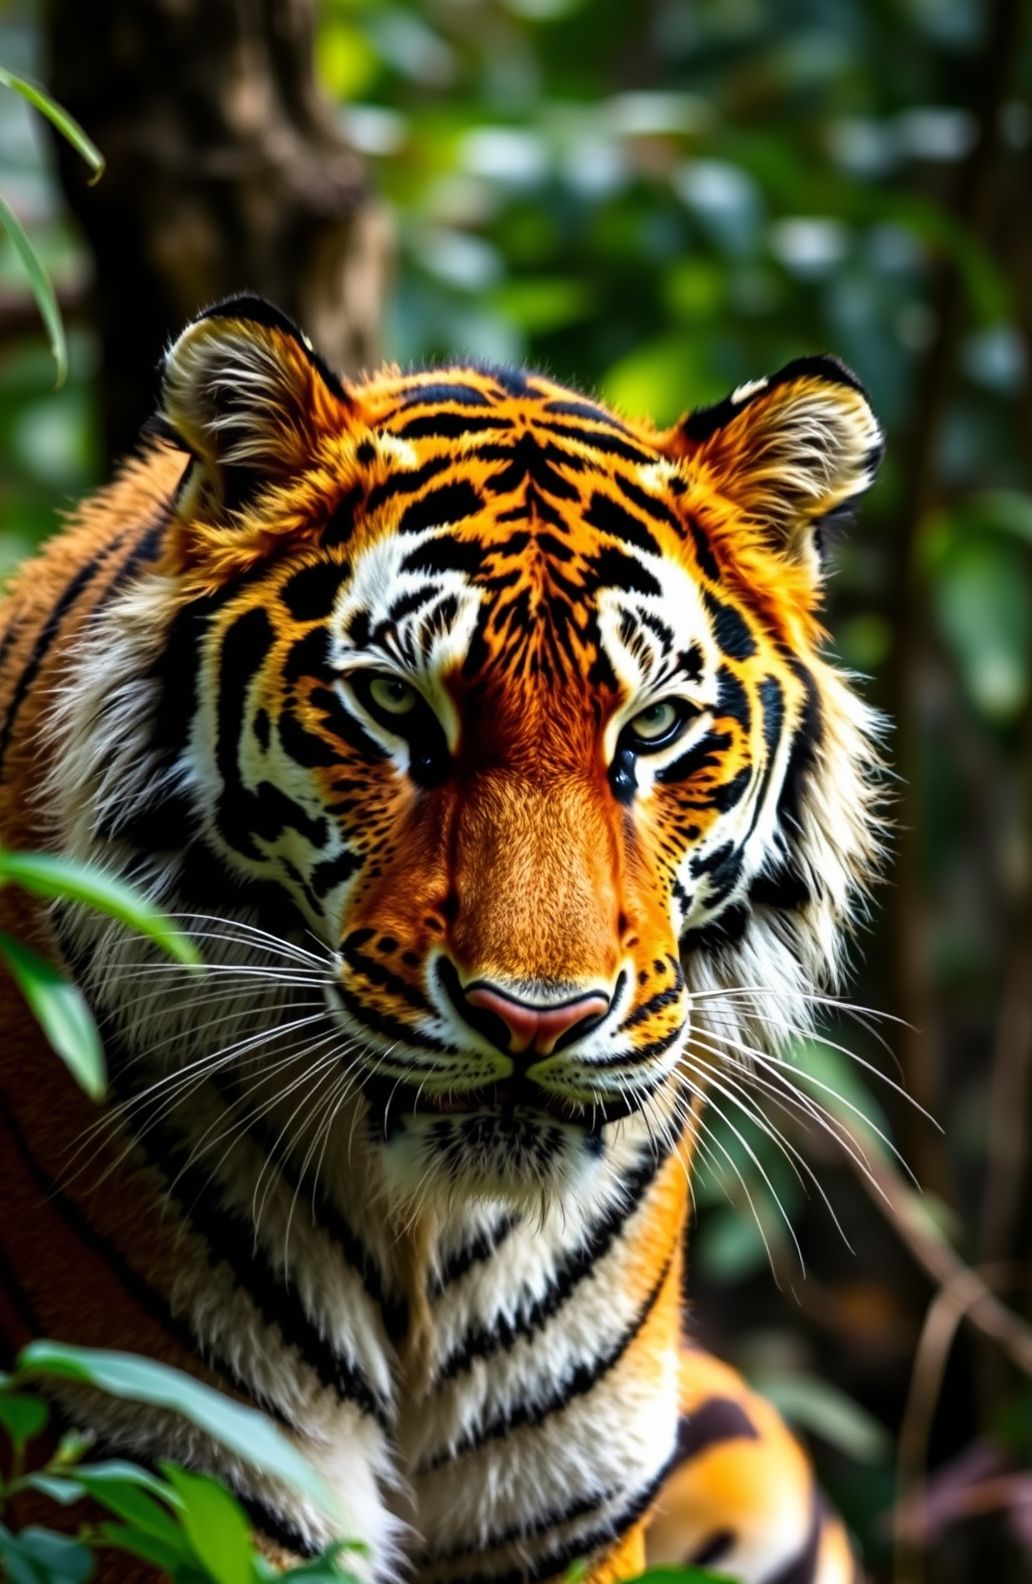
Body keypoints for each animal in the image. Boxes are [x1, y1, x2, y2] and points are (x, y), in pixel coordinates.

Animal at [0, 293, 884, 1584]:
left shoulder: (571, 1500)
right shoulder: (155, 1470)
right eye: (393, 705)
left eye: (654, 727)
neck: (429, 1252)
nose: (537, 1018)